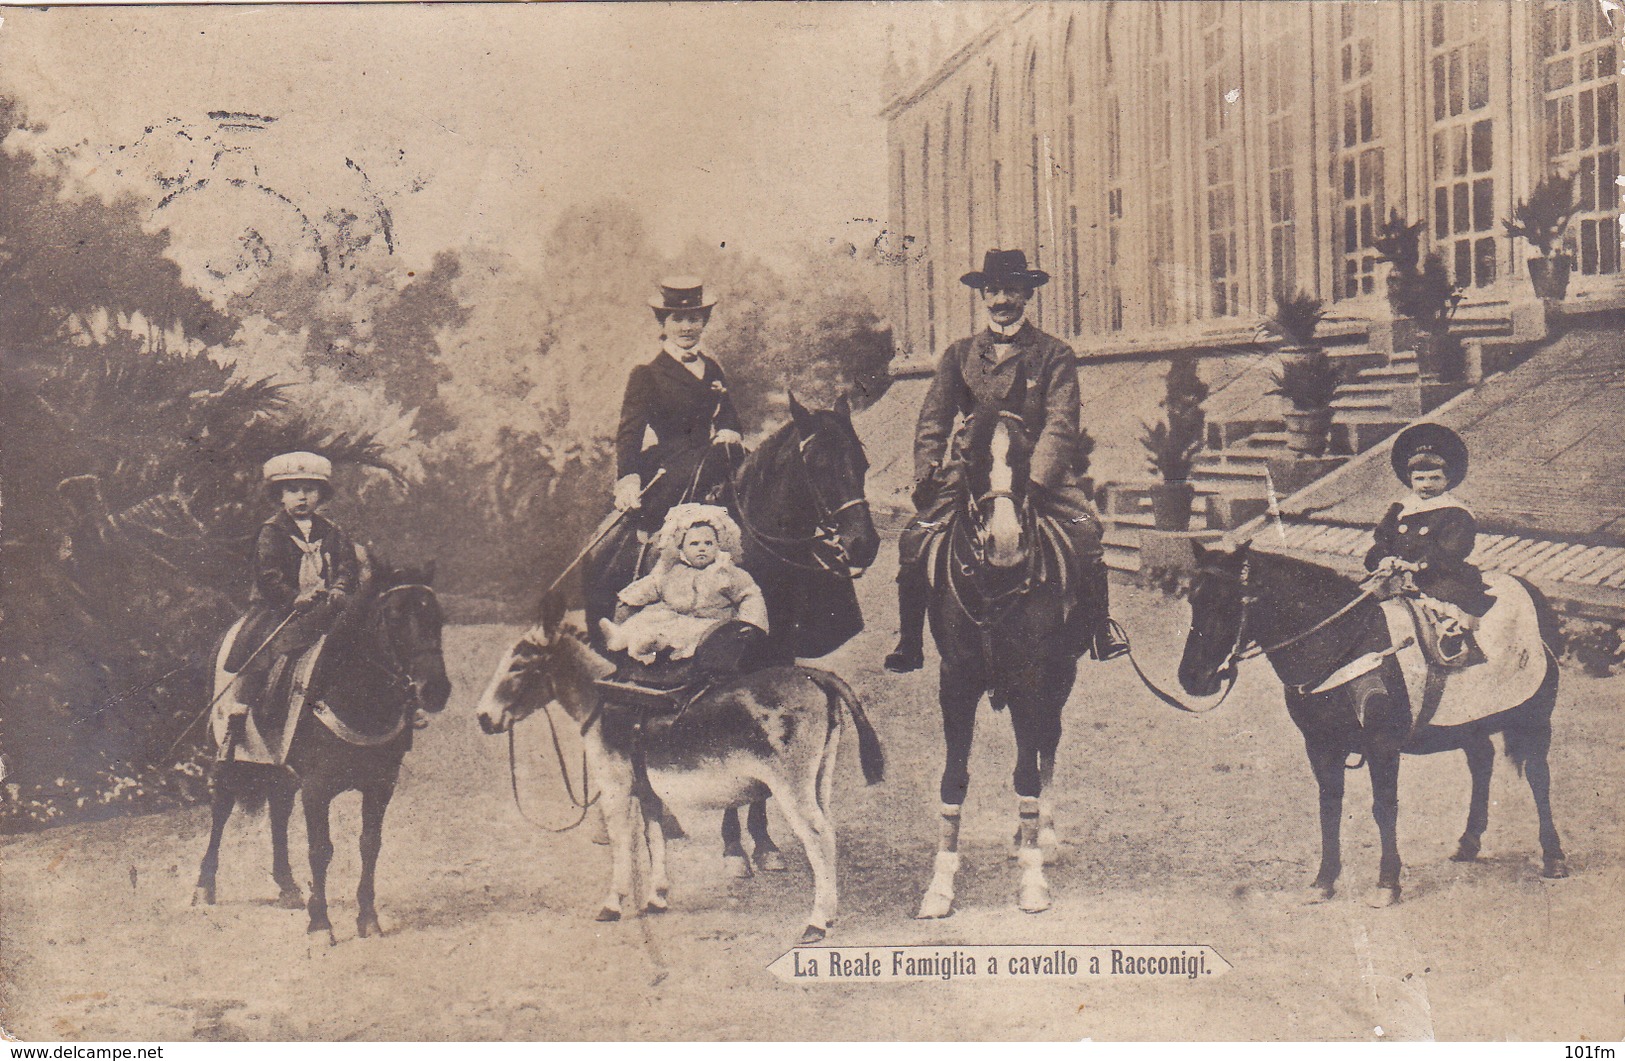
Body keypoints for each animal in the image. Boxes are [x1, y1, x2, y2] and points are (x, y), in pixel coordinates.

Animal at [194, 565, 455, 942]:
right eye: (394, 616)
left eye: (438, 617)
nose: (434, 689)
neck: (355, 695)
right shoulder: (317, 788)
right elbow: (320, 850)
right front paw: (320, 924)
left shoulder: (380, 785)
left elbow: (369, 845)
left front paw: (367, 918)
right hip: (227, 756)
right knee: (222, 809)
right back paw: (204, 886)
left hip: (280, 767)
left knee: (279, 811)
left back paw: (287, 886)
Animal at [474, 594, 884, 942]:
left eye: (519, 665)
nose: (482, 718)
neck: (603, 698)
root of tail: (814, 676)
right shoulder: (647, 790)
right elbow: (655, 837)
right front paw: (657, 897)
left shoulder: (616, 789)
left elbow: (622, 844)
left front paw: (612, 904)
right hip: (819, 777)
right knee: (828, 833)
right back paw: (828, 915)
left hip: (791, 786)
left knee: (817, 836)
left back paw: (816, 922)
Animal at [578, 393, 871, 870]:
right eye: (820, 465)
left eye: (862, 462)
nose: (864, 544)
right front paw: (735, 845)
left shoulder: (775, 656)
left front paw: (763, 842)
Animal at [1176, 542, 1566, 903]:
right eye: (1193, 599)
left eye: (1228, 602)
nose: (1192, 677)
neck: (1343, 645)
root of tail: (1532, 592)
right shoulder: (1320, 745)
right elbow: (1329, 806)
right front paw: (1324, 881)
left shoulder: (1382, 746)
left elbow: (1384, 807)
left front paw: (1387, 883)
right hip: (1471, 720)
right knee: (1482, 762)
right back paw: (1469, 843)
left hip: (1536, 719)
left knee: (1539, 776)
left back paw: (1554, 857)